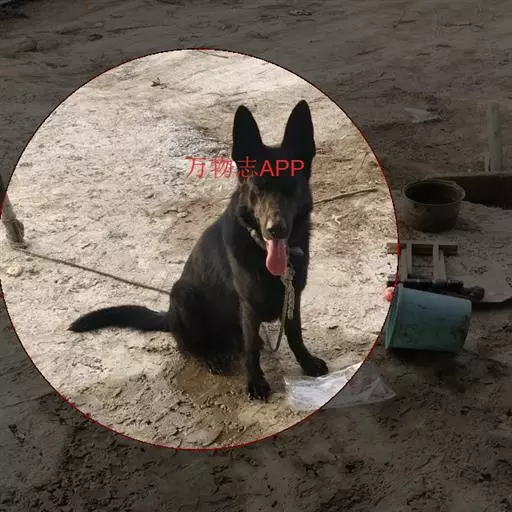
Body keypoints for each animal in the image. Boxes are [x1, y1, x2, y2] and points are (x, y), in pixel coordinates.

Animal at [69, 100, 329, 400]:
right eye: (257, 188)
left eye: (291, 186)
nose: (275, 229)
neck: (265, 252)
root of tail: (169, 316)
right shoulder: (248, 306)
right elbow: (251, 349)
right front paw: (255, 381)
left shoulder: (292, 295)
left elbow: (294, 333)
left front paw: (306, 362)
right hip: (183, 294)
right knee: (190, 347)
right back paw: (210, 356)